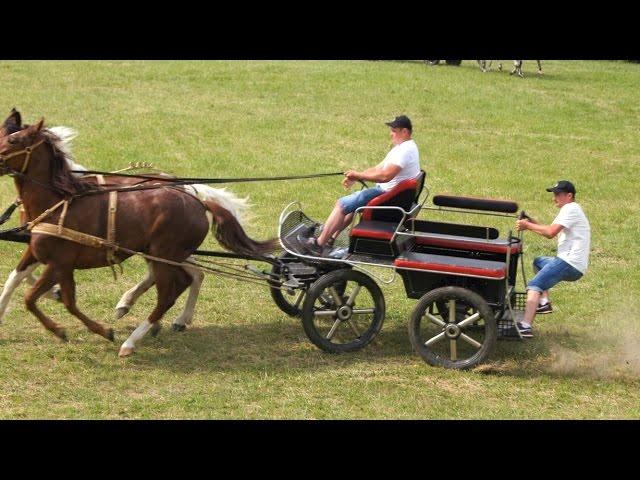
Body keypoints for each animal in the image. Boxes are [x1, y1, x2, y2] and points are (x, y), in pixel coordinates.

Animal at [0, 115, 276, 356]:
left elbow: (31, 298)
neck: (59, 201)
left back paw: (132, 340)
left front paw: (67, 329)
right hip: (163, 253)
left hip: (164, 254)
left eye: (14, 140)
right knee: (190, 277)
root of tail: (197, 199)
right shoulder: (45, 256)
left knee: (169, 294)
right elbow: (25, 283)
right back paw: (155, 316)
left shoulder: (59, 262)